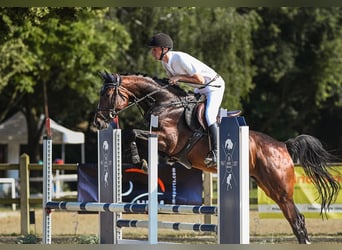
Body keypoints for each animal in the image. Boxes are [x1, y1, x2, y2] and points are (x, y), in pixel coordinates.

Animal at [93, 72, 340, 244]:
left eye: (107, 94)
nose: (98, 123)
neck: (165, 105)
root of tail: (282, 146)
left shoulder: (168, 141)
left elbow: (133, 133)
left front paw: (139, 160)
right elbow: (134, 135)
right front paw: (139, 160)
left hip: (280, 189)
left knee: (297, 220)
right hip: (268, 187)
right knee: (295, 220)